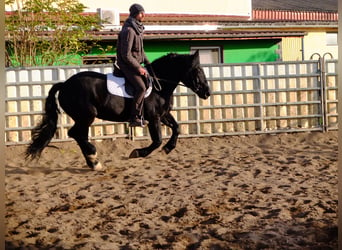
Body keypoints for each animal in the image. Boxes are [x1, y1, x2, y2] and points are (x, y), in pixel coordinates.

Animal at [26, 50, 211, 170]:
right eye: (197, 70)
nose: (207, 92)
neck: (160, 85)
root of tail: (65, 84)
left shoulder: (163, 115)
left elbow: (177, 128)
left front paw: (168, 148)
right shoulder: (154, 118)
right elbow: (157, 140)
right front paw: (138, 152)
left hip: (84, 119)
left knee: (79, 135)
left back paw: (92, 162)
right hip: (86, 117)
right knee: (76, 134)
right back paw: (94, 160)